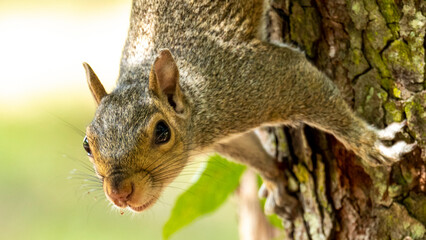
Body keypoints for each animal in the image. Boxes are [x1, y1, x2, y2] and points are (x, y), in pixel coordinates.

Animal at [80, 0, 416, 214]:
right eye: (87, 144)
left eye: (162, 132)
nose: (119, 193)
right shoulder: (226, 136)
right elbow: (250, 152)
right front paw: (276, 180)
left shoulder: (260, 82)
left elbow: (317, 96)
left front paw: (371, 144)